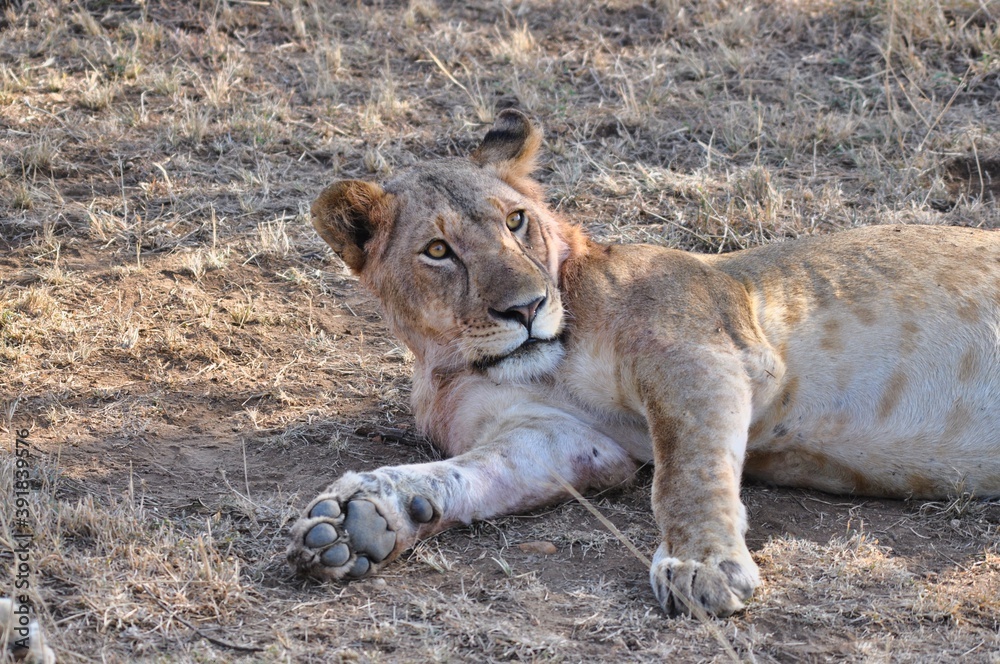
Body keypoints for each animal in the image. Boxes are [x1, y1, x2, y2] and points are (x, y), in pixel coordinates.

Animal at [287, 110, 1000, 617]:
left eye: (516, 221)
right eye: (437, 250)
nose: (526, 307)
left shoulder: (701, 351)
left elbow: (687, 470)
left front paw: (702, 568)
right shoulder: (564, 440)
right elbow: (468, 474)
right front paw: (361, 521)